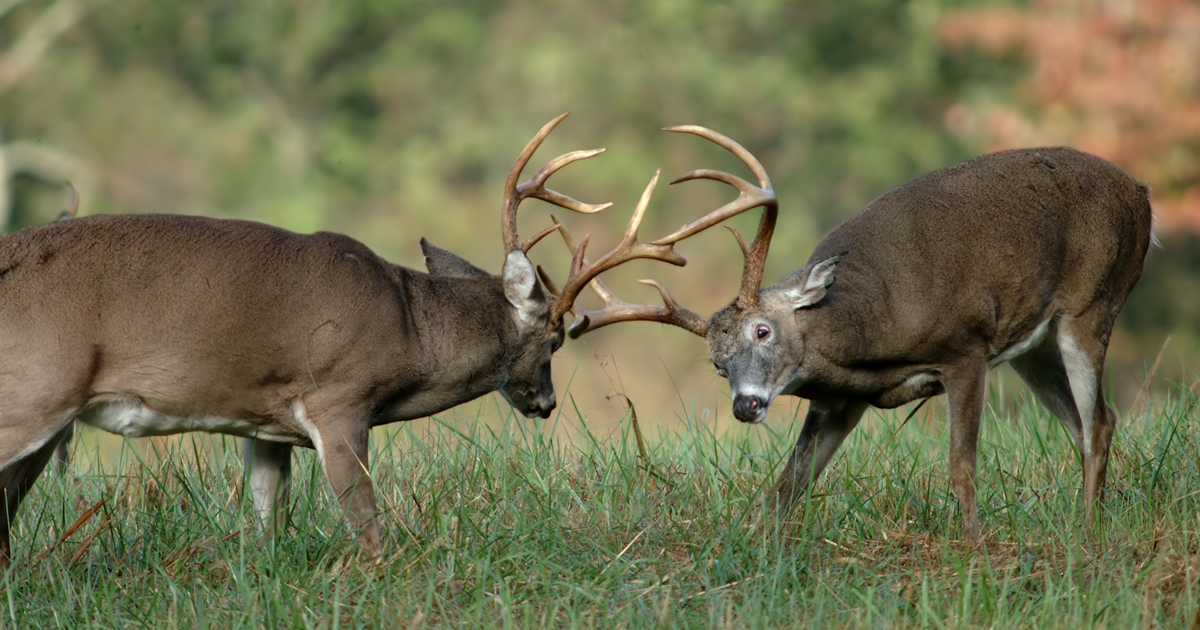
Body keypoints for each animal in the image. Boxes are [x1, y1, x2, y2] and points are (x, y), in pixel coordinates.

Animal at [560, 125, 1153, 540]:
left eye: (762, 331)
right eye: (716, 363)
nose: (745, 406)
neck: (870, 338)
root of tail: (1142, 195)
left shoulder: (966, 348)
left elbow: (961, 466)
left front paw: (974, 546)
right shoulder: (840, 399)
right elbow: (787, 487)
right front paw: (753, 546)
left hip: (1092, 303)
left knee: (1099, 421)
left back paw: (1088, 533)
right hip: (1035, 346)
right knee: (1084, 424)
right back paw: (1087, 521)